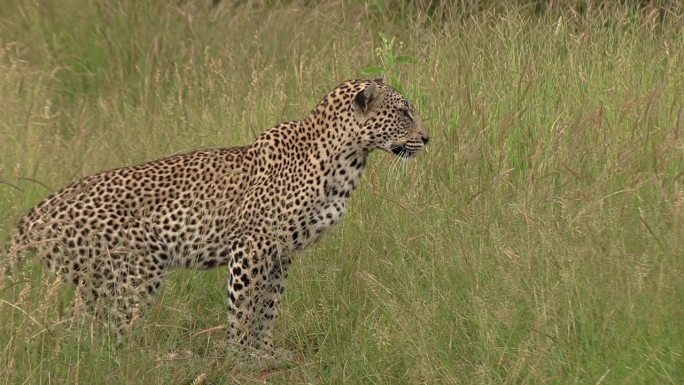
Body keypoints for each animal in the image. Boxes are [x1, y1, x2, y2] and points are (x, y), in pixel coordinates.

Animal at [5, 77, 430, 360]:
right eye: (404, 112)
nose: (427, 138)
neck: (349, 160)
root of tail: (36, 213)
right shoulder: (252, 245)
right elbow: (243, 307)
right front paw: (240, 358)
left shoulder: (281, 253)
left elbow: (269, 306)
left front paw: (265, 353)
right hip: (136, 272)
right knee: (104, 332)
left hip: (97, 283)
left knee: (80, 332)